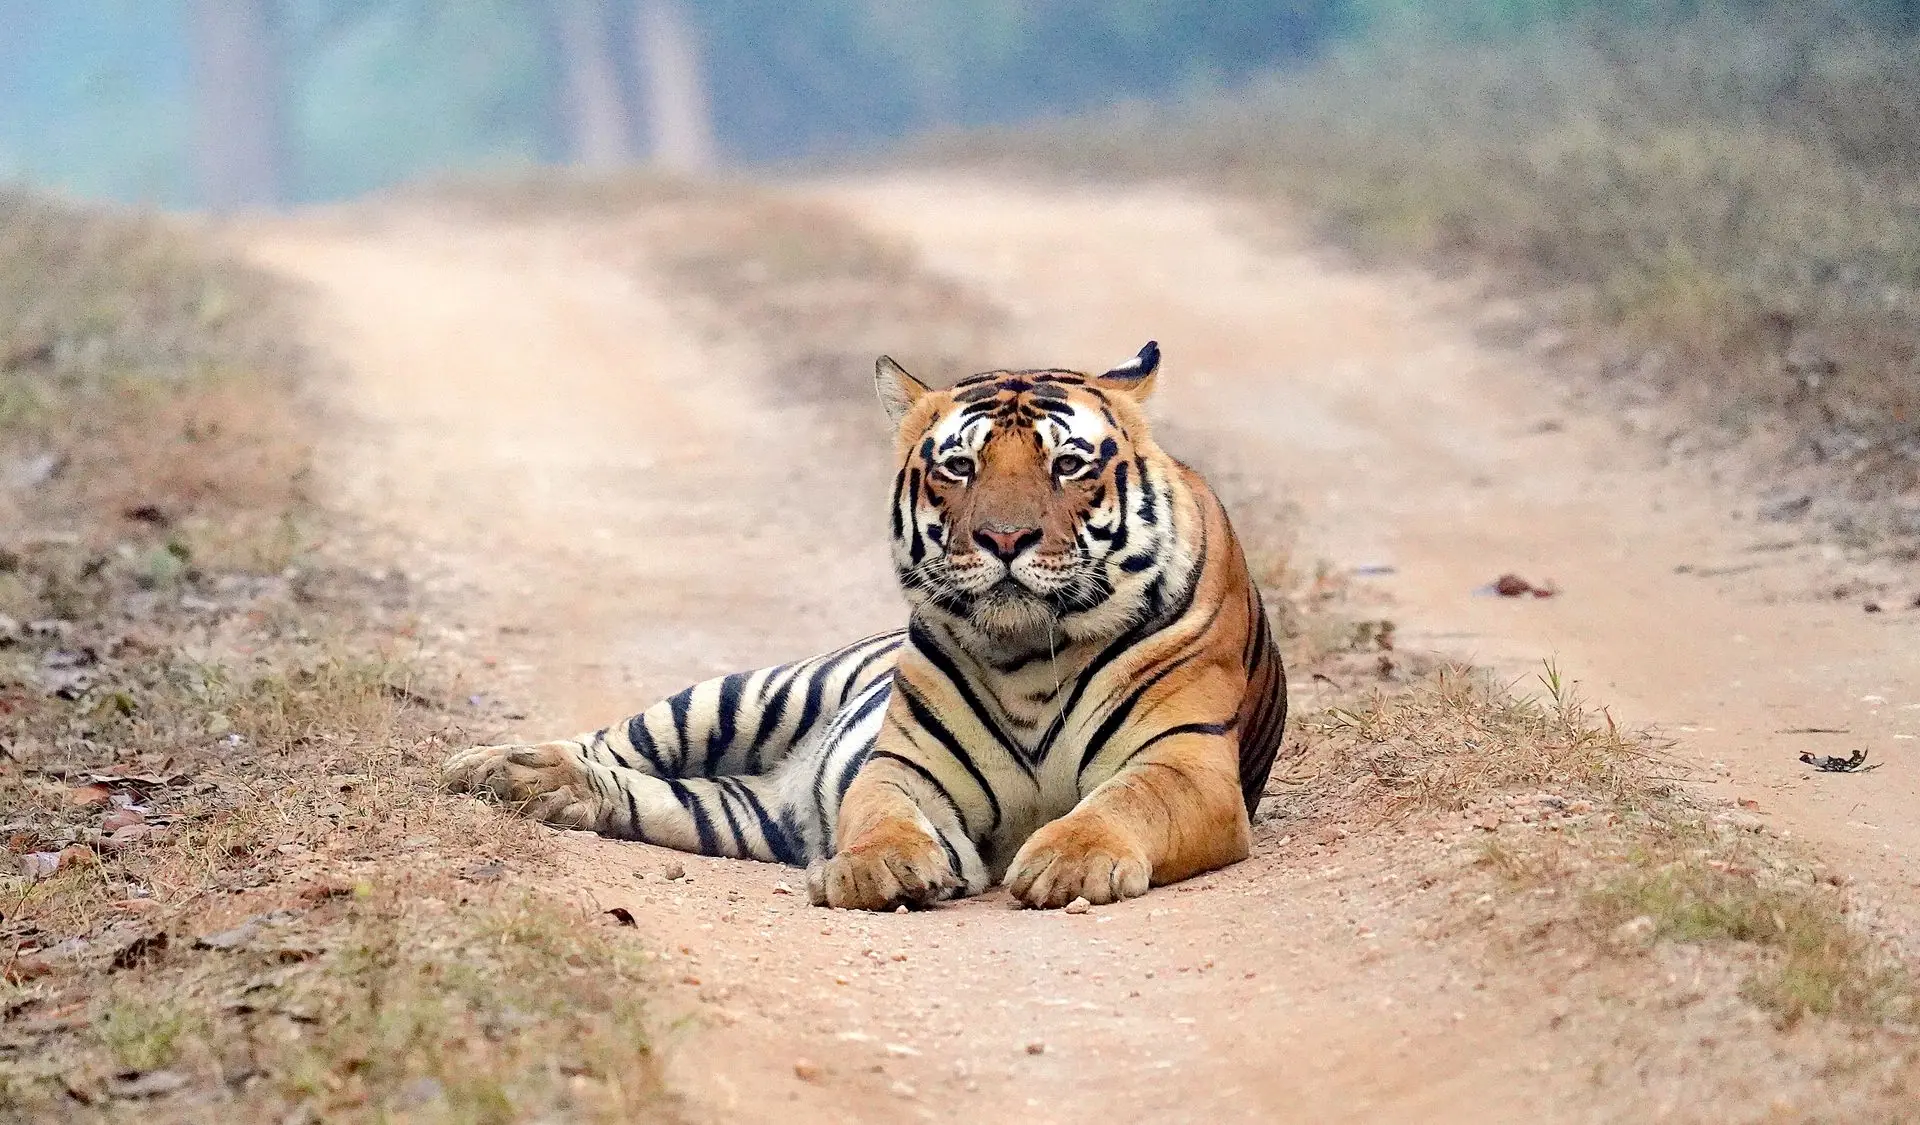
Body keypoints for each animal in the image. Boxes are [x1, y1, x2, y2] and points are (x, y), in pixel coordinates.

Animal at [442, 341, 1288, 910]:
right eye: (959, 467)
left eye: (1068, 466)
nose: (1005, 538)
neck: (1027, 659)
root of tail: (780, 786)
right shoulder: (905, 765)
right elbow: (881, 812)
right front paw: (879, 867)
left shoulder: (1186, 761)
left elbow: (1122, 802)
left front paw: (1068, 862)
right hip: (742, 695)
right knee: (617, 740)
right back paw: (495, 766)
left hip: (737, 812)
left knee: (650, 791)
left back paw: (544, 791)